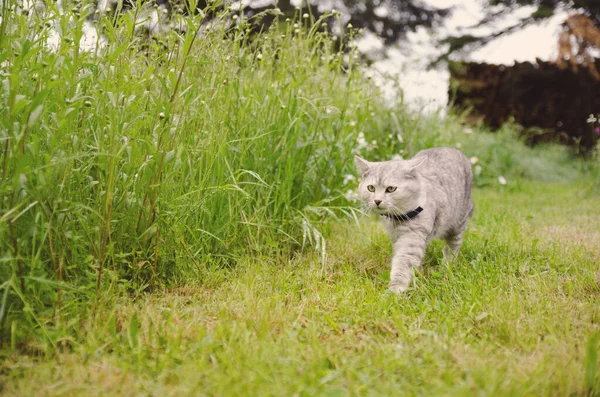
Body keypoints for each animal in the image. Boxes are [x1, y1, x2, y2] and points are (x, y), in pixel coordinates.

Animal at [356, 147, 474, 292]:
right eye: (371, 188)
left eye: (391, 188)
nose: (377, 200)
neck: (397, 219)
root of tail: (452, 148)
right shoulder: (396, 237)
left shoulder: (412, 238)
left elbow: (402, 264)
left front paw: (395, 289)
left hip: (458, 223)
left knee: (453, 246)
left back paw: (447, 265)